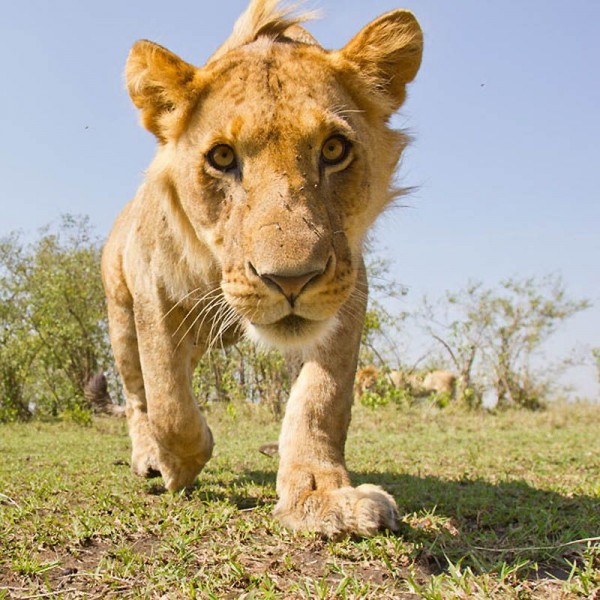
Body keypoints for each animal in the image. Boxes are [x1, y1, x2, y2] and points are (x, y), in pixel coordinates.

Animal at [103, 0, 422, 540]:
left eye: (333, 149)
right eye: (222, 156)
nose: (291, 279)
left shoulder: (346, 289)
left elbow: (320, 399)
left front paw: (322, 497)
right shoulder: (154, 291)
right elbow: (168, 402)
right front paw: (180, 465)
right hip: (121, 318)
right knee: (138, 395)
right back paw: (148, 456)